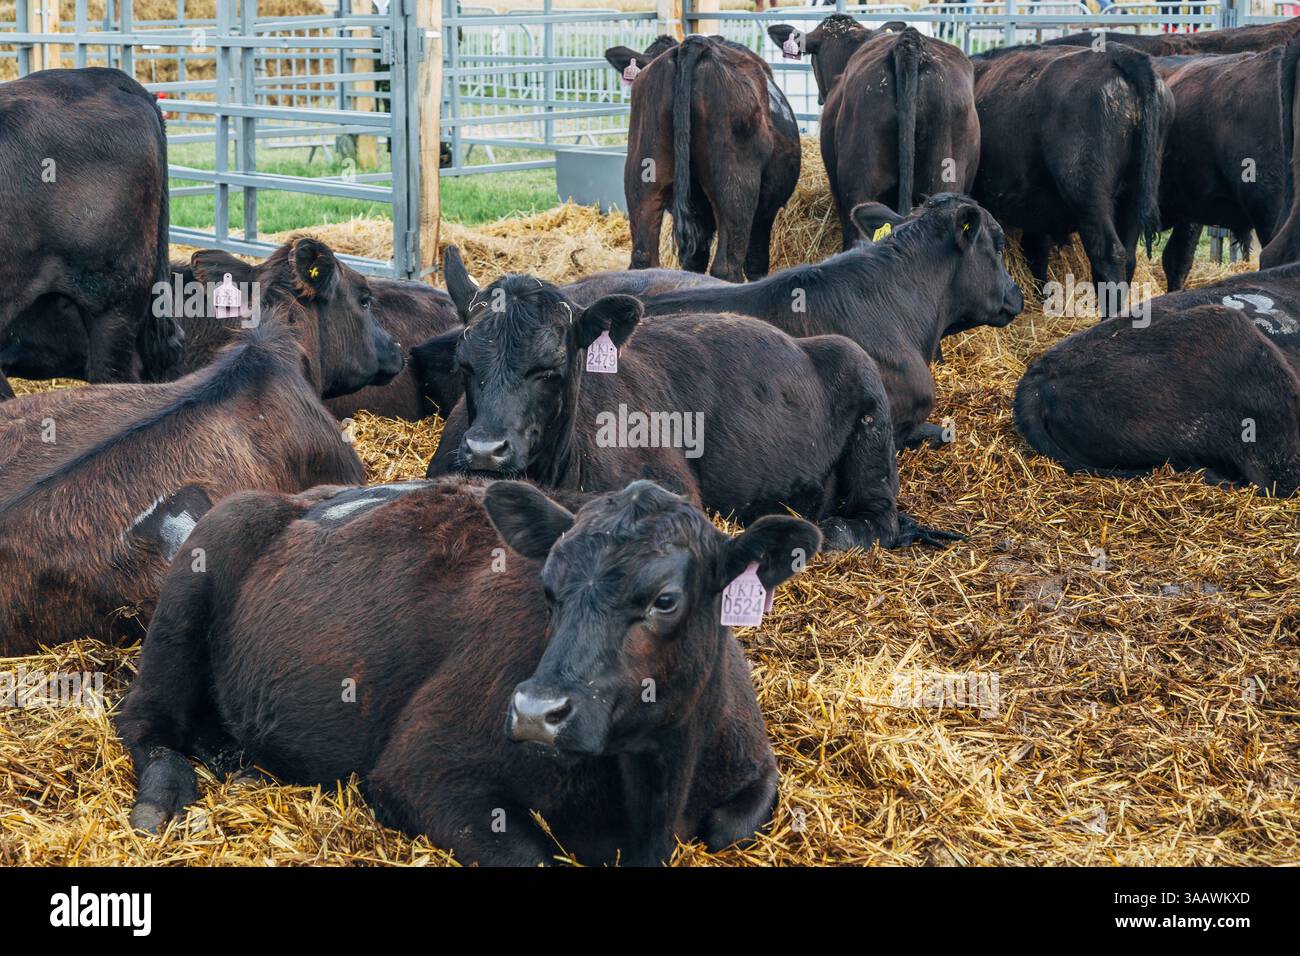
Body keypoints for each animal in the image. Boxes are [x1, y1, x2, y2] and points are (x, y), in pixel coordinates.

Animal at [117, 476, 818, 866]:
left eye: (666, 599)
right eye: (547, 587)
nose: (536, 712)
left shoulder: (754, 768)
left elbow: (730, 825)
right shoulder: (425, 768)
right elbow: (537, 859)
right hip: (192, 588)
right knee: (145, 719)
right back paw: (164, 795)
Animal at [603, 34, 801, 281]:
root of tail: (692, 45)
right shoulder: (765, 209)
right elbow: (756, 262)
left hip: (643, 179)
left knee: (644, 257)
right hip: (735, 188)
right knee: (726, 266)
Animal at [969, 44, 1172, 315]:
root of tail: (1119, 54)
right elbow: (1036, 252)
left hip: (1089, 196)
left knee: (1108, 254)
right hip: (1130, 199)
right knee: (1127, 259)